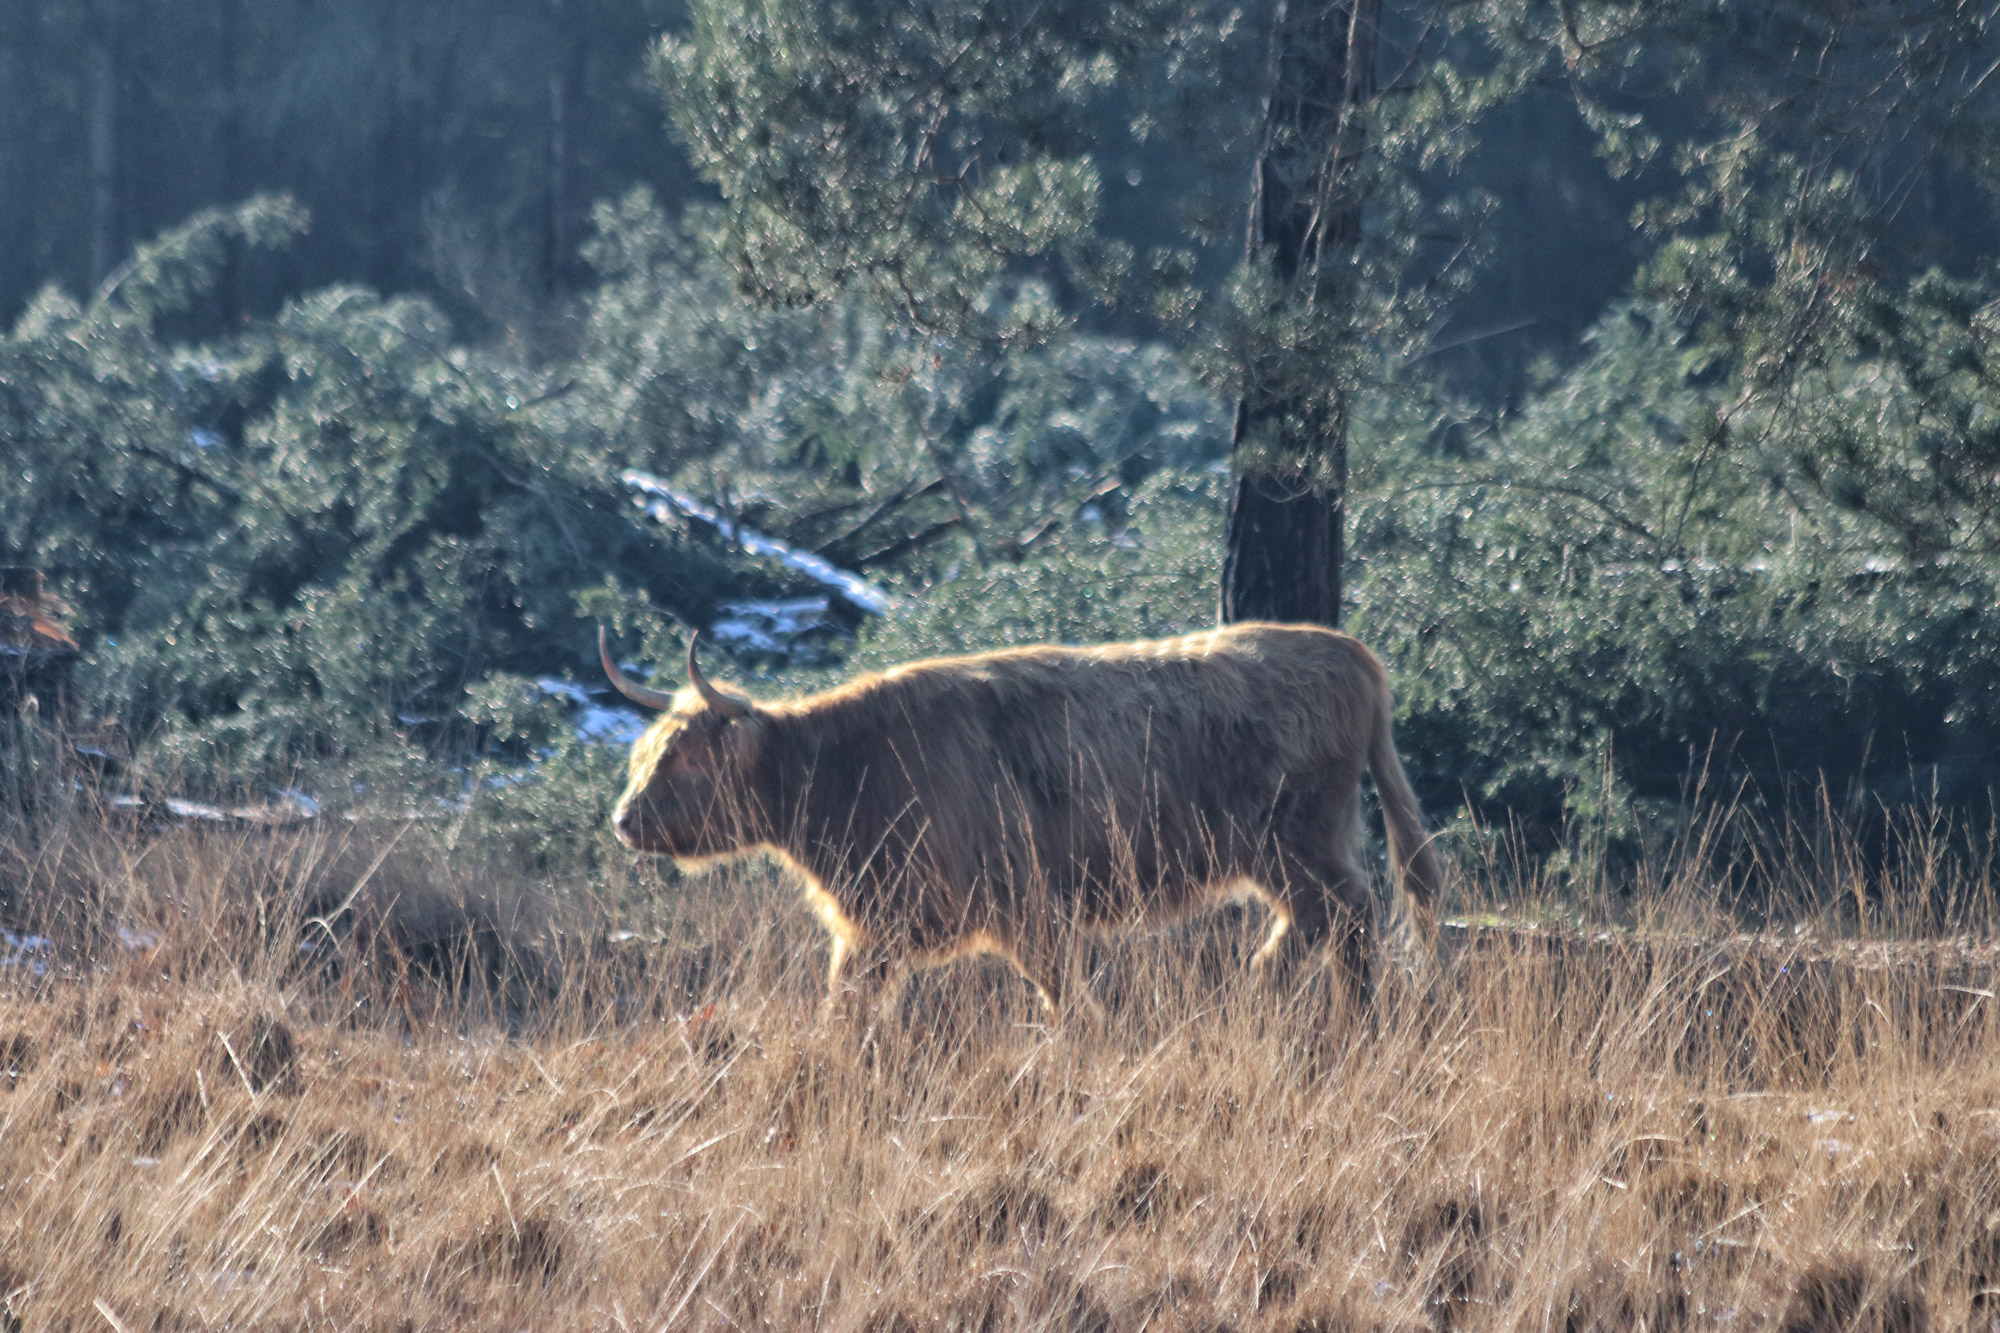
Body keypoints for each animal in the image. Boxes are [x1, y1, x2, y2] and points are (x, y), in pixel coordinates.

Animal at [596, 620, 1440, 1016]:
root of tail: (1350, 652)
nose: (624, 819)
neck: (844, 770)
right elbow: (845, 1008)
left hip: (1297, 841)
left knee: (1351, 915)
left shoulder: (1024, 905)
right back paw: (1260, 993)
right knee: (1318, 924)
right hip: (1287, 853)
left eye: (684, 758)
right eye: (645, 753)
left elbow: (1064, 994)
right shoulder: (876, 928)